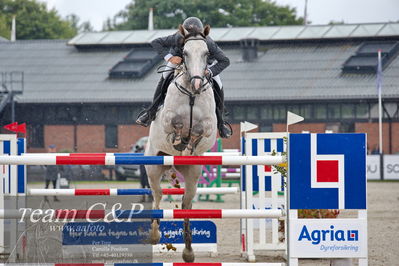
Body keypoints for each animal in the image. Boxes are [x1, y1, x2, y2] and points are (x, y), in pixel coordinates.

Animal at [145, 24, 217, 262]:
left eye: (207, 54)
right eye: (184, 53)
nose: (196, 83)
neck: (192, 95)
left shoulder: (209, 126)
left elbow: (199, 129)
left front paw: (189, 143)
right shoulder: (168, 119)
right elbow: (175, 124)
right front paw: (179, 140)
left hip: (193, 173)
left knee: (186, 203)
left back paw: (188, 251)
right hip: (153, 167)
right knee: (157, 196)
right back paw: (154, 235)